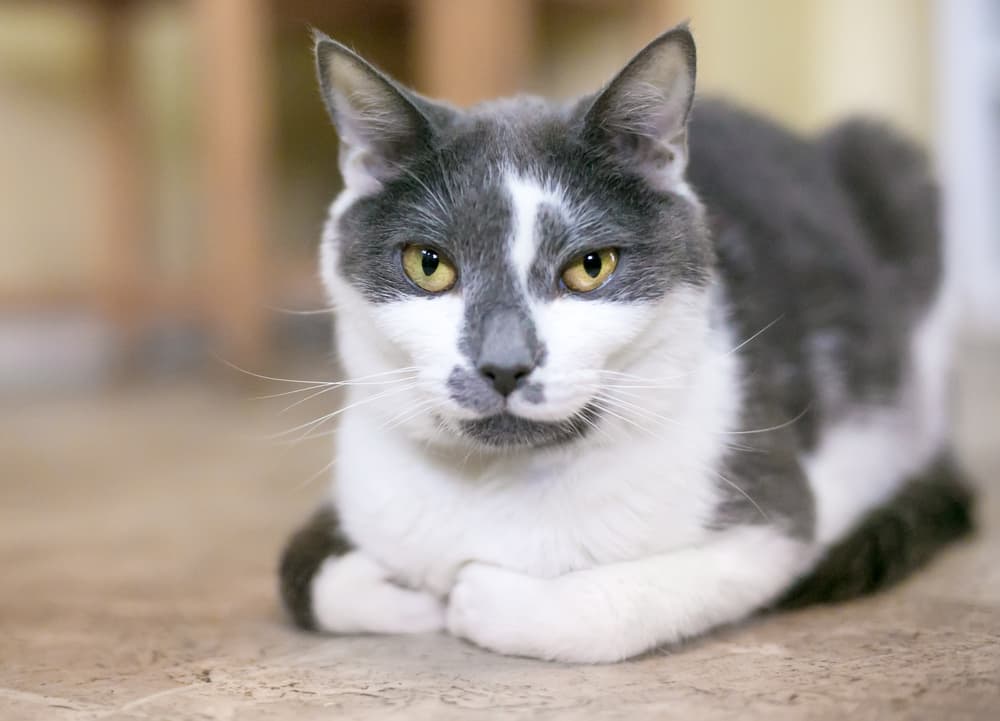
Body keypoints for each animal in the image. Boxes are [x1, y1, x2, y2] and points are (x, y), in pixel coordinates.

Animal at [278, 23, 972, 664]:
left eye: (591, 267)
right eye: (428, 265)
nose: (505, 364)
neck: (504, 486)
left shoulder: (770, 520)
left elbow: (619, 605)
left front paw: (474, 595)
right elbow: (304, 577)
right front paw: (412, 595)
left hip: (895, 171)